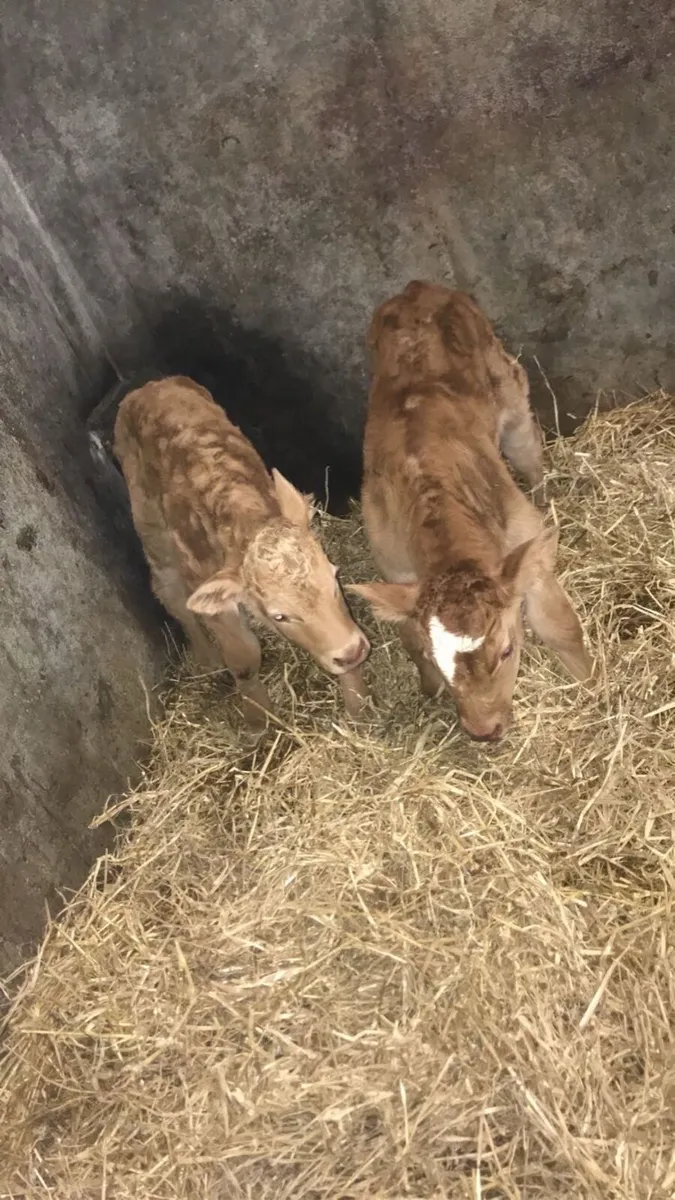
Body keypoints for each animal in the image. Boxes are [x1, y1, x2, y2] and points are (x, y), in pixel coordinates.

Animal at [114, 376, 370, 729]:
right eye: (280, 615)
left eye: (334, 579)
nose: (352, 651)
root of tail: (146, 388)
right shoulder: (216, 599)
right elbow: (244, 658)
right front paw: (260, 720)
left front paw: (358, 706)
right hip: (150, 522)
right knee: (170, 592)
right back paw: (207, 658)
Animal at [349, 281, 592, 742]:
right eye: (439, 663)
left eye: (508, 650)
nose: (484, 730)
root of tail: (417, 289)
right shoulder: (395, 569)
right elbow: (409, 640)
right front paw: (428, 688)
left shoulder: (525, 551)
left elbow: (562, 627)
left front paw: (595, 683)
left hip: (511, 395)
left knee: (530, 453)